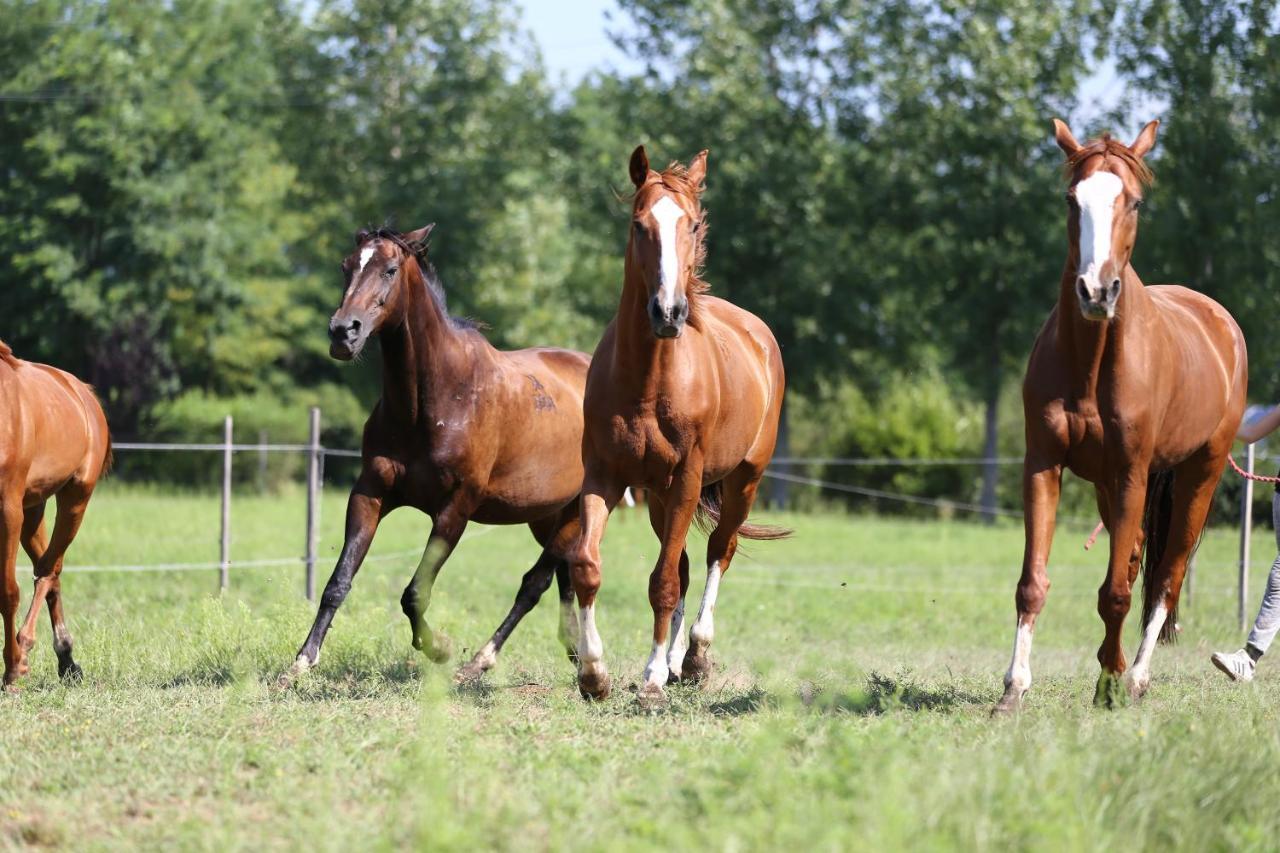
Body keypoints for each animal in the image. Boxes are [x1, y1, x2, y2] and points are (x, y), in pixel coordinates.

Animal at [0, 338, 110, 686]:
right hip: (32, 510)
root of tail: (82, 391)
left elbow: (8, 590)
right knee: (50, 568)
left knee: (49, 568)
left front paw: (12, 669)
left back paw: (27, 650)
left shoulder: (7, 509)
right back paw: (66, 659)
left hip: (75, 499)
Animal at [280, 225, 588, 686]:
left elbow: (414, 592)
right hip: (545, 515)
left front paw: (438, 648)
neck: (437, 397)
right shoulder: (370, 494)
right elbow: (338, 581)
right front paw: (302, 661)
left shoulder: (454, 509)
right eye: (346, 266)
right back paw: (577, 656)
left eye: (390, 269)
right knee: (564, 578)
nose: (343, 333)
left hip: (575, 510)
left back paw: (480, 661)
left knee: (536, 583)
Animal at [570, 147, 788, 701]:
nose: (668, 312)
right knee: (687, 566)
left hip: (742, 481)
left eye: (690, 224)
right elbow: (587, 566)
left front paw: (650, 678)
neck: (650, 381)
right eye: (639, 224)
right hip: (660, 496)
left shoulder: (689, 478)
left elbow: (663, 580)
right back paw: (671, 660)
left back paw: (693, 658)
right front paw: (594, 673)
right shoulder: (605, 477)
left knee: (716, 553)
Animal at [993, 116, 1244, 706]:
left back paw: (1136, 677)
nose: (1095, 291)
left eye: (1134, 202)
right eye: (1071, 199)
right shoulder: (1044, 465)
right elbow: (1033, 583)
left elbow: (1117, 594)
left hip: (1200, 474)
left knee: (1168, 575)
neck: (1091, 364)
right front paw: (1014, 688)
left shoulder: (1132, 472)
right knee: (1135, 567)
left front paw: (1109, 685)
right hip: (1111, 489)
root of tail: (1221, 322)